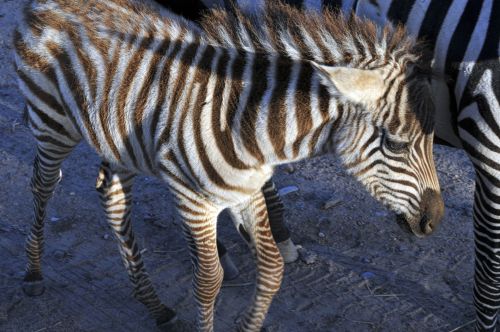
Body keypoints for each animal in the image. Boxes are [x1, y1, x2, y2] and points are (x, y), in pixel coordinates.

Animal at [14, 0, 446, 330]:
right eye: (396, 143)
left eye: (432, 142)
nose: (434, 220)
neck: (249, 125)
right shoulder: (195, 203)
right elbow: (209, 281)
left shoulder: (248, 192)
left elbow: (272, 269)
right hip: (52, 121)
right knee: (42, 185)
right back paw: (33, 273)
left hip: (121, 139)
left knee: (112, 199)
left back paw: (155, 306)